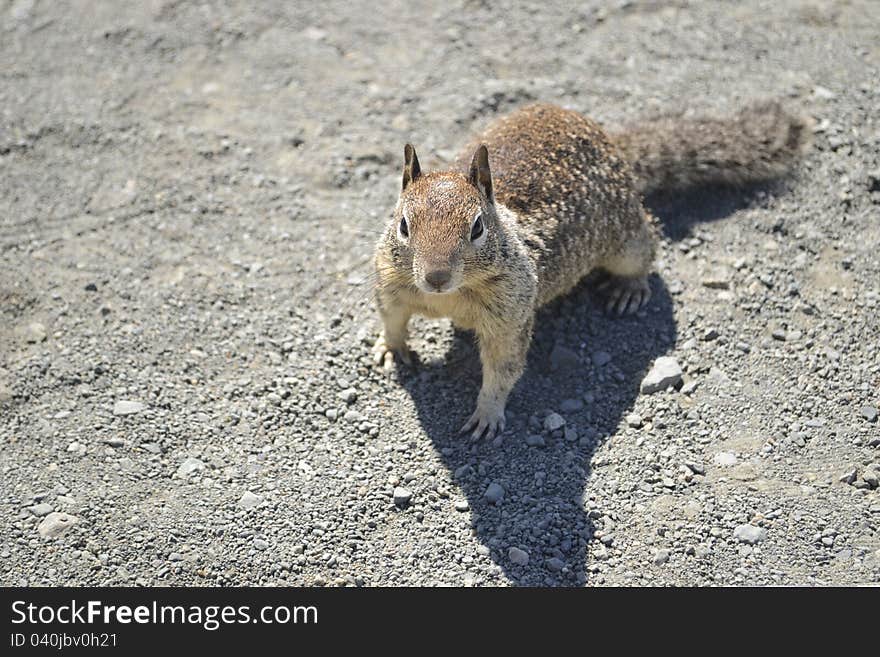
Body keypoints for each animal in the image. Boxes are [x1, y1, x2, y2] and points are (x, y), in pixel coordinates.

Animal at [372, 100, 812, 438]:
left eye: (478, 227)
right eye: (403, 225)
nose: (436, 277)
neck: (450, 297)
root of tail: (607, 138)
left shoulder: (511, 318)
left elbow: (503, 368)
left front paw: (487, 414)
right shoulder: (391, 283)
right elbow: (392, 319)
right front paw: (391, 349)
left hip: (626, 238)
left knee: (647, 246)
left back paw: (629, 289)